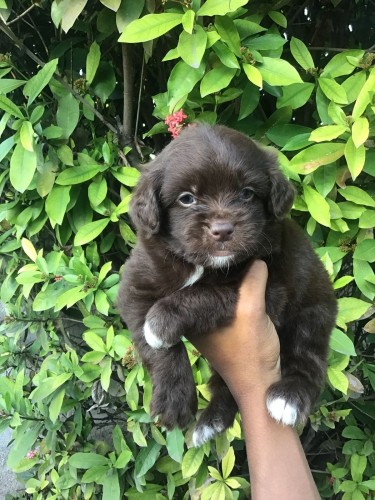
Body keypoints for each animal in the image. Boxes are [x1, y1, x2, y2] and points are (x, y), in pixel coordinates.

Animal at [117, 124, 338, 446]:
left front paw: (160, 323)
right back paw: (211, 422)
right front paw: (174, 400)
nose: (222, 230)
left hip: (313, 315)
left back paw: (288, 398)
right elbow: (156, 348)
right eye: (187, 198)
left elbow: (206, 293)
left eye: (246, 194)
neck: (201, 264)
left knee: (307, 360)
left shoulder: (267, 289)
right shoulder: (136, 285)